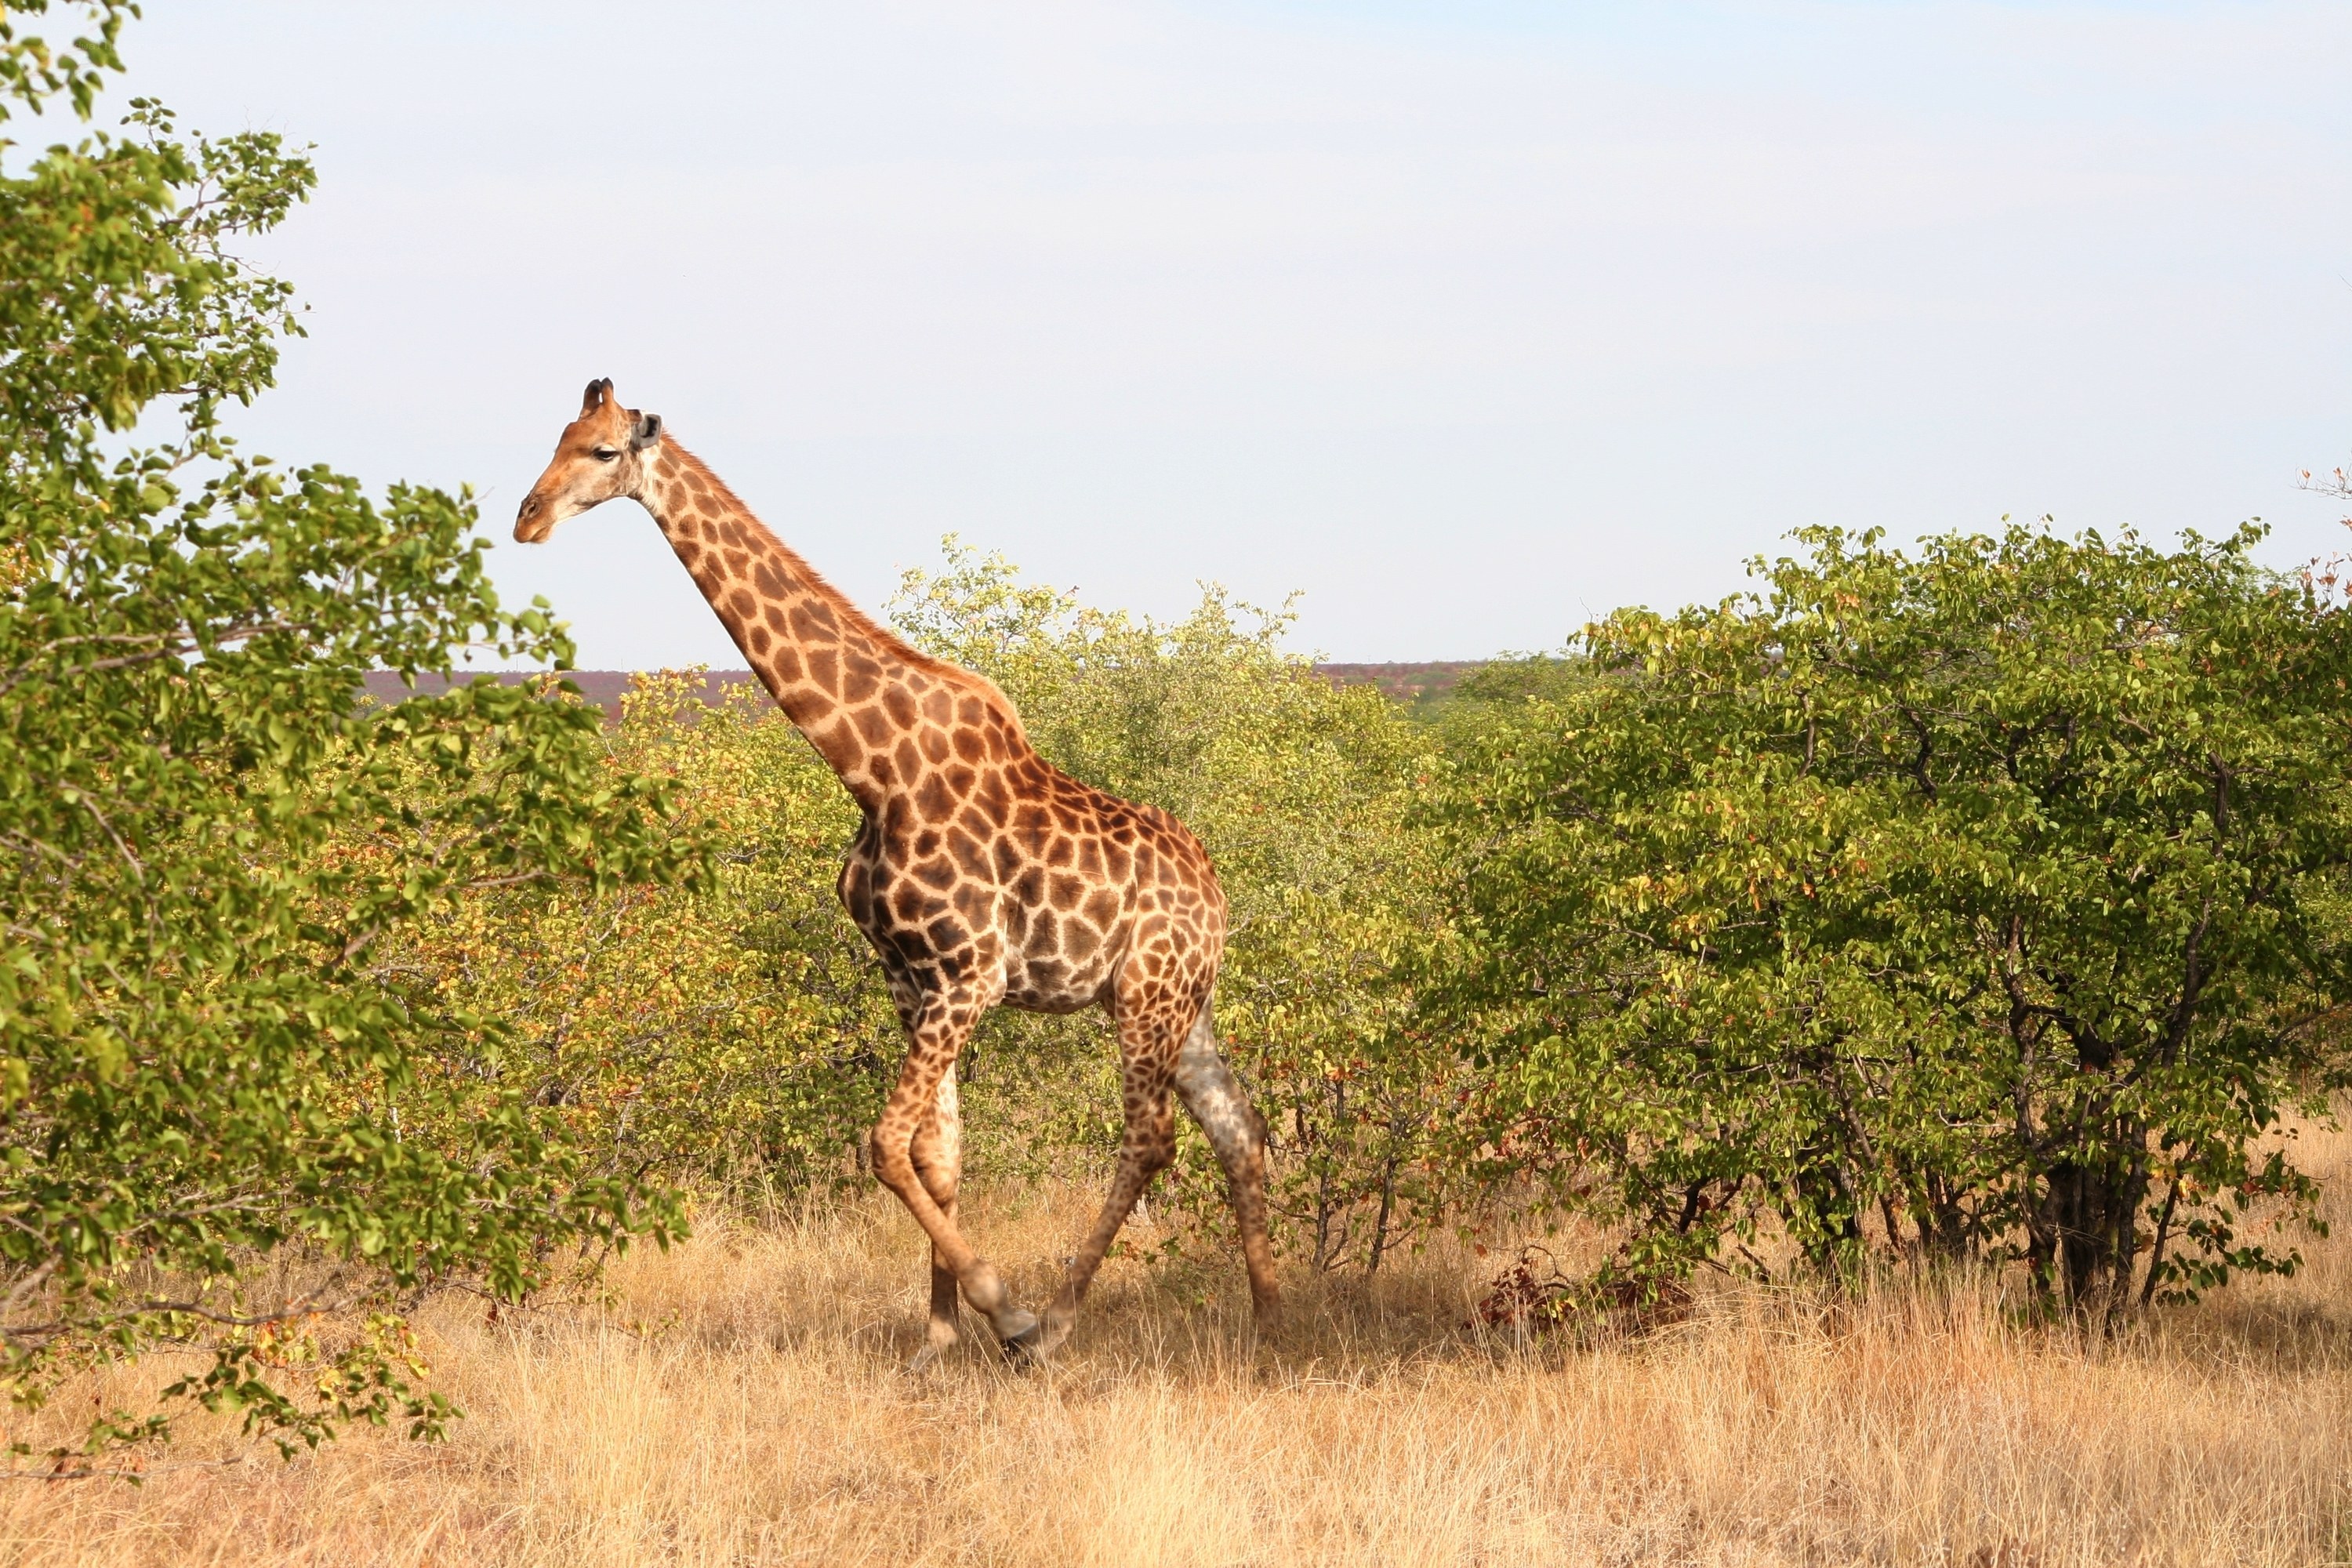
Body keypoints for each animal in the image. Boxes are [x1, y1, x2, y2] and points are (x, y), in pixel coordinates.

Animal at [515, 379, 1280, 1363]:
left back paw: (1058, 1322)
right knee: (1238, 1126)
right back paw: (1273, 1318)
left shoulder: (972, 974)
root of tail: (1216, 894)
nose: (528, 518)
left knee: (1150, 1139)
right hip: (1178, 1001)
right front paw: (937, 1338)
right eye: (558, 436)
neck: (872, 767)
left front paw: (1004, 1313)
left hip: (1149, 992)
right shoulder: (912, 979)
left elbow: (883, 1144)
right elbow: (935, 1155)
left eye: (603, 452)